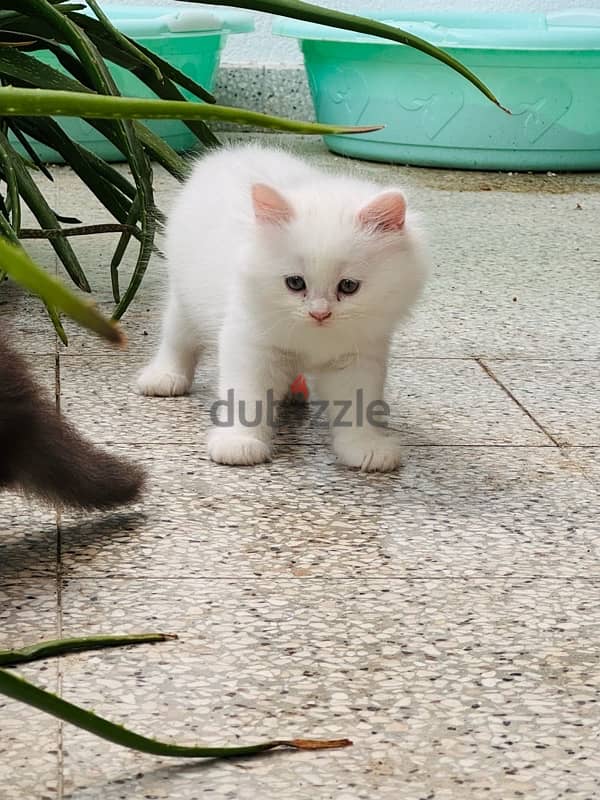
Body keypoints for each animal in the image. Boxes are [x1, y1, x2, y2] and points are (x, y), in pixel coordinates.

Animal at [137, 143, 426, 468]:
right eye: (295, 283)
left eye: (349, 286)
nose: (319, 313)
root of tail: (230, 152)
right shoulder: (250, 344)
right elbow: (247, 398)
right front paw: (239, 443)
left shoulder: (359, 356)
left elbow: (358, 405)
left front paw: (364, 447)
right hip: (185, 301)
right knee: (178, 341)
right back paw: (165, 377)